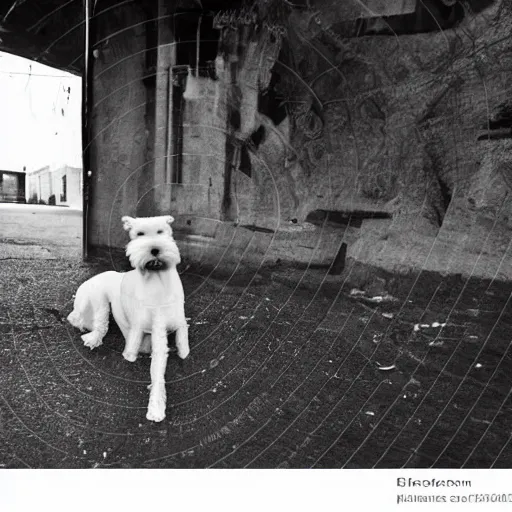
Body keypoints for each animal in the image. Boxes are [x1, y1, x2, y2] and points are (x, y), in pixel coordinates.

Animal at [67, 214, 189, 422]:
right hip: (99, 300)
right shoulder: (154, 328)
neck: (157, 283)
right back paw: (93, 339)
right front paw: (156, 409)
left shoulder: (173, 322)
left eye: (161, 231)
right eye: (139, 234)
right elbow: (156, 370)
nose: (154, 249)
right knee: (101, 325)